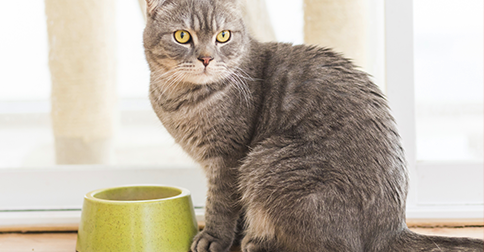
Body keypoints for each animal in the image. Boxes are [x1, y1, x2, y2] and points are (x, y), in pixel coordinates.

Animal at [143, 0, 484, 251]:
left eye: (223, 36)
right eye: (182, 36)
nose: (206, 58)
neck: (179, 99)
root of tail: (392, 229)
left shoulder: (228, 158)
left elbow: (220, 204)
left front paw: (214, 238)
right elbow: (235, 210)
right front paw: (234, 236)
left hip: (264, 159)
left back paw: (259, 242)